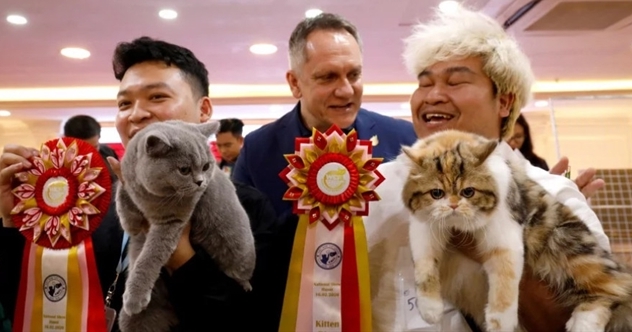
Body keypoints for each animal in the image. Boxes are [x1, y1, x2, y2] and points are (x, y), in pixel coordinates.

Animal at [115, 120, 256, 332]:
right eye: (184, 170)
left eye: (206, 166)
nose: (200, 182)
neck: (149, 196)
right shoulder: (127, 178)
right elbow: (121, 191)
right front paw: (130, 223)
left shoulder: (172, 221)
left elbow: (150, 257)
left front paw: (135, 298)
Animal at [400, 130, 632, 332]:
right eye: (436, 193)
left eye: (468, 192)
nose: (453, 206)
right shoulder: (424, 232)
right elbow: (425, 270)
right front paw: (430, 310)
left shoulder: (504, 238)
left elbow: (504, 287)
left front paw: (500, 323)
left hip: (569, 249)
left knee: (615, 289)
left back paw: (582, 325)